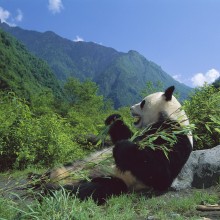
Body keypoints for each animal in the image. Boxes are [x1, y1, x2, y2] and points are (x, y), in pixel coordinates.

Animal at [46, 86, 192, 205]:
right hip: (77, 163)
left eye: (143, 103)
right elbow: (125, 134)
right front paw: (114, 118)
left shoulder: (175, 136)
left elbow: (161, 173)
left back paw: (53, 190)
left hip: (111, 177)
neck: (171, 116)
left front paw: (123, 147)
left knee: (93, 189)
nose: (130, 108)